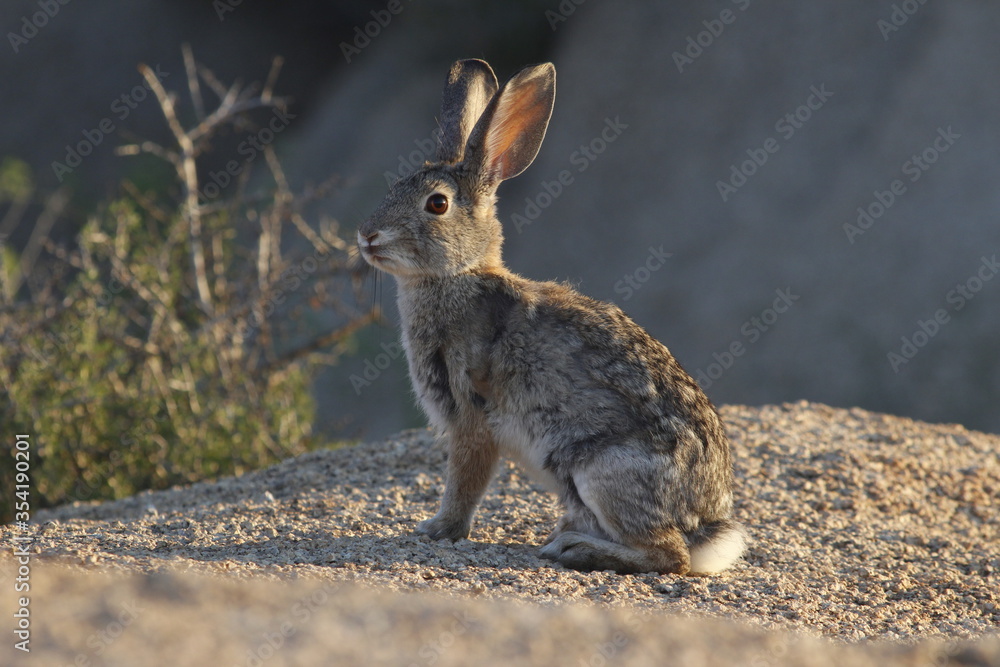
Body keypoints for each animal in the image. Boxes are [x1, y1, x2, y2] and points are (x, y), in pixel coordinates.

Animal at [357, 59, 746, 575]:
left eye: (436, 203)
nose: (367, 236)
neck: (458, 274)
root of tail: (707, 524)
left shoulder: (472, 414)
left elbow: (465, 480)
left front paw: (436, 529)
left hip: (601, 470)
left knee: (669, 556)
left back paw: (575, 548)